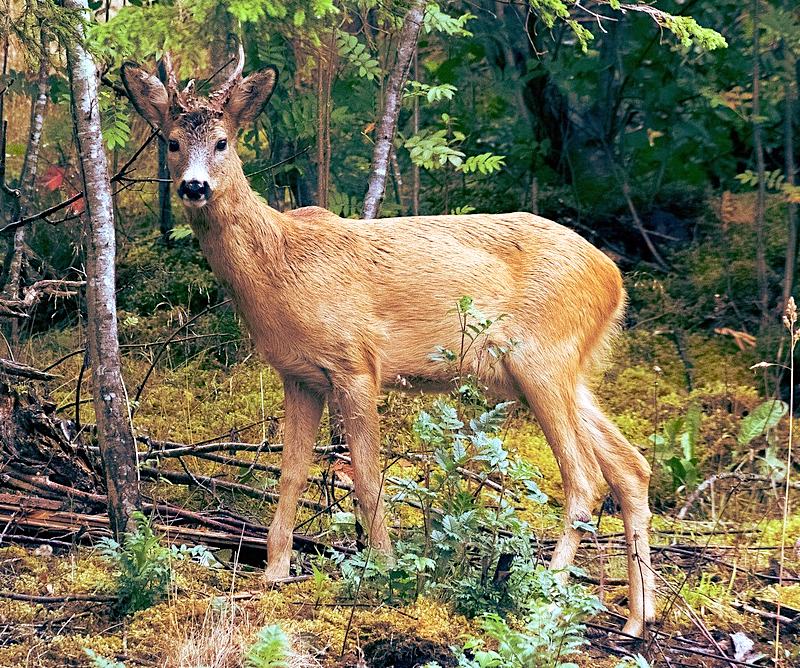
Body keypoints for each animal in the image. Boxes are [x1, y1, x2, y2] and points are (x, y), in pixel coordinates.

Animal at [121, 49, 656, 637]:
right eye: (171, 142)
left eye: (222, 142)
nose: (194, 187)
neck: (280, 267)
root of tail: (613, 278)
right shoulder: (299, 375)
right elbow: (290, 474)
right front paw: (275, 572)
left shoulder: (356, 363)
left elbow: (368, 477)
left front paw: (384, 570)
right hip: (566, 369)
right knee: (631, 468)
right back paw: (637, 621)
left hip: (541, 357)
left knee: (584, 481)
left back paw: (545, 598)